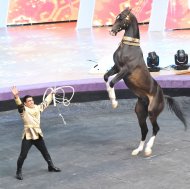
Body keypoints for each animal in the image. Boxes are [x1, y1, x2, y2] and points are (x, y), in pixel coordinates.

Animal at [103, 7, 186, 157]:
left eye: (121, 18)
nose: (112, 31)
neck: (129, 48)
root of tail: (163, 96)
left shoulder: (124, 70)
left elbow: (112, 82)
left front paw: (114, 103)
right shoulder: (116, 68)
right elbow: (106, 78)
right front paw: (111, 99)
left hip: (152, 112)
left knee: (156, 128)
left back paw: (147, 149)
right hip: (140, 113)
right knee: (145, 130)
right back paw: (138, 150)